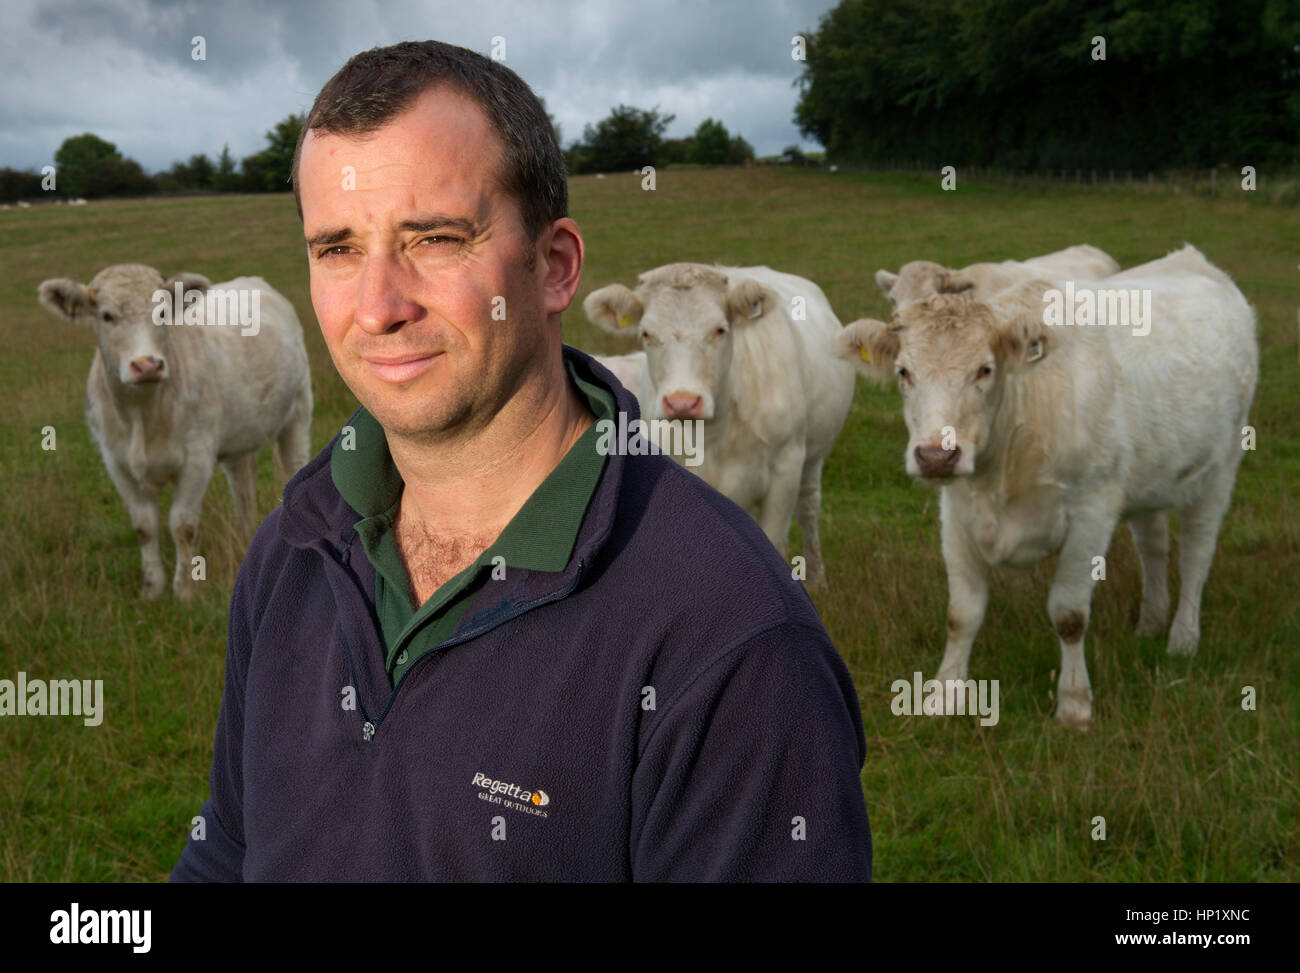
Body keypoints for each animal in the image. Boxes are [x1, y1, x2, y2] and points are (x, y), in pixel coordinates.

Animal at [39, 267, 313, 600]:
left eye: (161, 312)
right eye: (106, 316)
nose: (147, 365)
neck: (142, 416)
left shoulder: (197, 458)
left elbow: (182, 525)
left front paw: (184, 590)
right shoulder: (117, 463)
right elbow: (144, 527)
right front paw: (152, 588)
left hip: (298, 413)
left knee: (293, 466)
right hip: (239, 437)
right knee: (243, 489)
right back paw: (243, 535)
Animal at [587, 264, 852, 585]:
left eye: (719, 330)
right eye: (646, 333)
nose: (682, 402)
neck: (713, 436)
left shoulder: (786, 469)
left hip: (813, 456)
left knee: (809, 507)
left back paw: (816, 578)